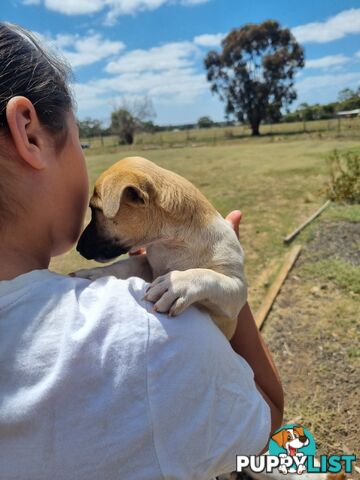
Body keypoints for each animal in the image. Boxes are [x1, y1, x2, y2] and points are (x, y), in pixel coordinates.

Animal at [75, 157, 248, 338]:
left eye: (95, 209)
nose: (78, 248)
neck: (172, 243)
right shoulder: (148, 263)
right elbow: (125, 265)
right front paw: (95, 273)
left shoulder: (237, 288)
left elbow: (207, 275)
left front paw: (176, 285)